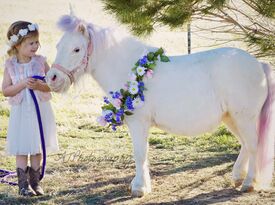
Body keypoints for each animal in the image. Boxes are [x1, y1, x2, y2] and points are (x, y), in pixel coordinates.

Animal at [46, 14, 274, 197]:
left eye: (76, 49)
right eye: (57, 46)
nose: (52, 78)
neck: (131, 70)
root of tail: (259, 65)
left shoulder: (139, 123)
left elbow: (140, 154)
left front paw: (139, 188)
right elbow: (143, 154)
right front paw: (142, 185)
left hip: (244, 118)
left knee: (253, 145)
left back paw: (248, 183)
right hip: (231, 118)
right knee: (245, 145)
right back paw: (238, 177)